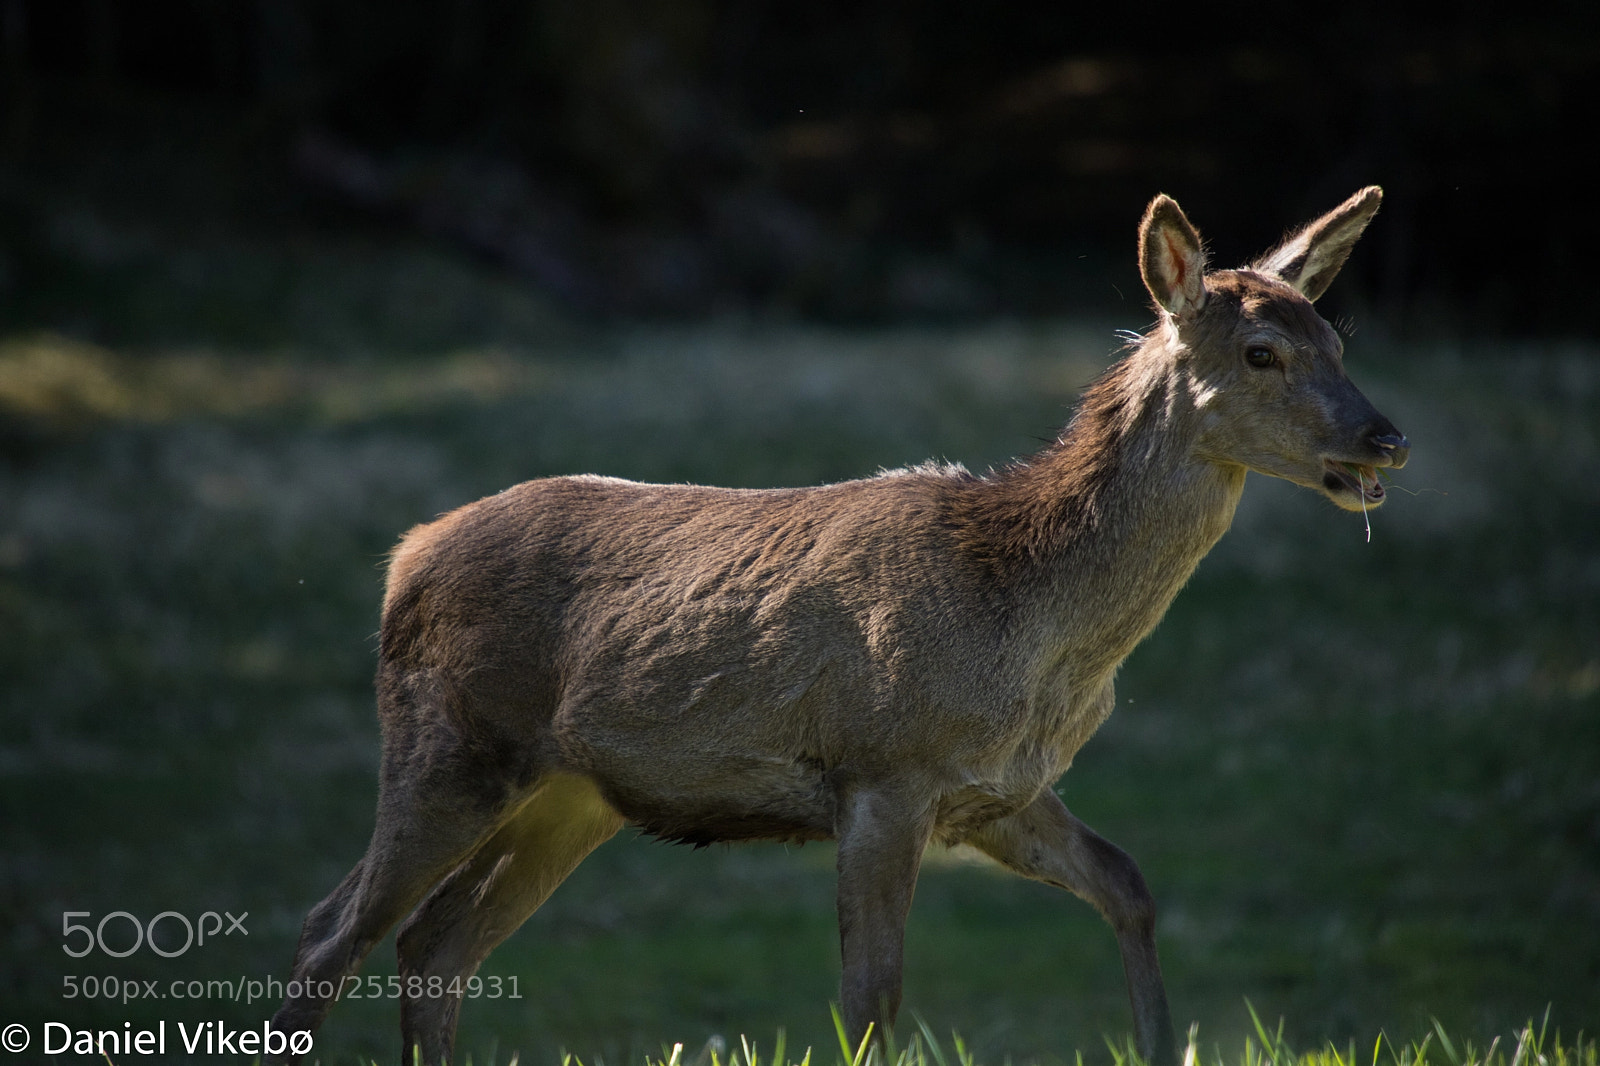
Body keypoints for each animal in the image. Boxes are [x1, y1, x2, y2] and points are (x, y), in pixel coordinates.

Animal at [269, 187, 1408, 1066]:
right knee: (330, 932)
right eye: (1260, 351)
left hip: (570, 794)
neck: (1025, 620)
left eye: (1337, 337)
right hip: (448, 740)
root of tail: (404, 556)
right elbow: (871, 1003)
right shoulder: (880, 770)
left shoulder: (994, 790)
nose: (1384, 436)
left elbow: (1127, 883)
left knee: (436, 943)